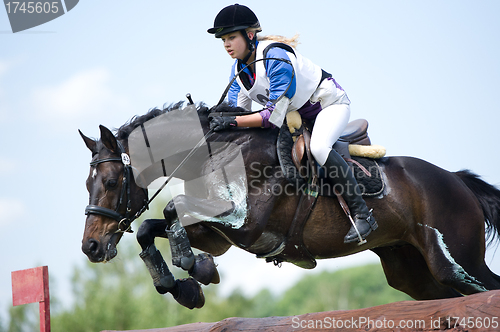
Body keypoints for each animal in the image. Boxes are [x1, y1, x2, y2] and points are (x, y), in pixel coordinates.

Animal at [78, 101, 500, 308]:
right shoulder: (217, 234)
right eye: (87, 183)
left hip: (456, 262)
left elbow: (170, 210)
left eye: (112, 182)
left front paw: (196, 270)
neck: (214, 151)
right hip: (412, 273)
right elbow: (150, 228)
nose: (91, 247)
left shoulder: (246, 225)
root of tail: (457, 180)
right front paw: (180, 287)